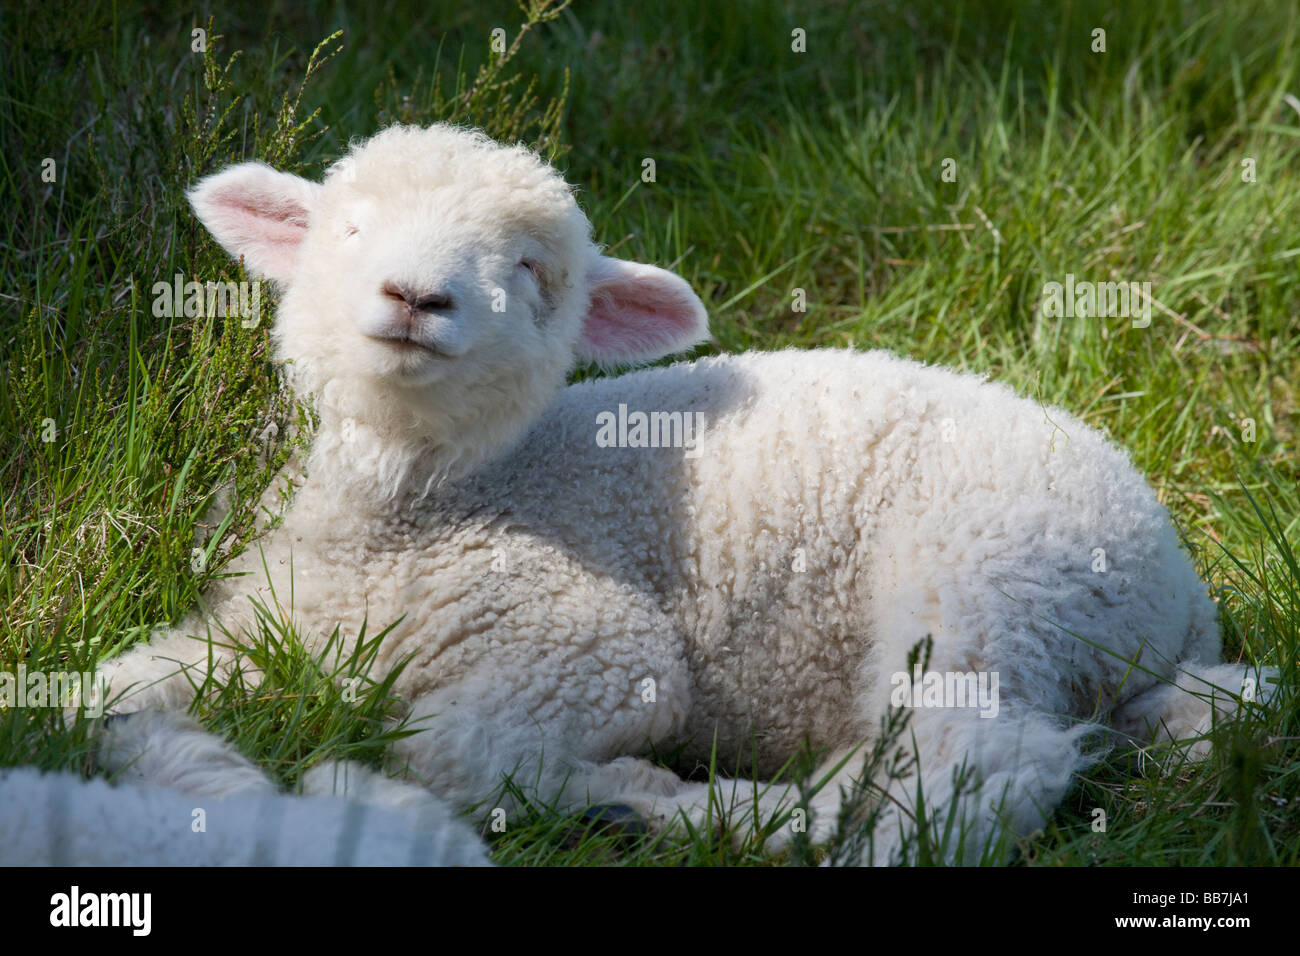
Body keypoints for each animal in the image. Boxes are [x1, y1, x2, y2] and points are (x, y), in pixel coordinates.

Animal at [92, 122, 1272, 864]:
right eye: (346, 227)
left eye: (531, 273)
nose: (415, 296)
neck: (400, 523)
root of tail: (1177, 600)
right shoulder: (250, 624)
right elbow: (106, 698)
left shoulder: (594, 645)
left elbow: (450, 751)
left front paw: (618, 793)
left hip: (991, 578)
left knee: (979, 766)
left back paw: (775, 825)